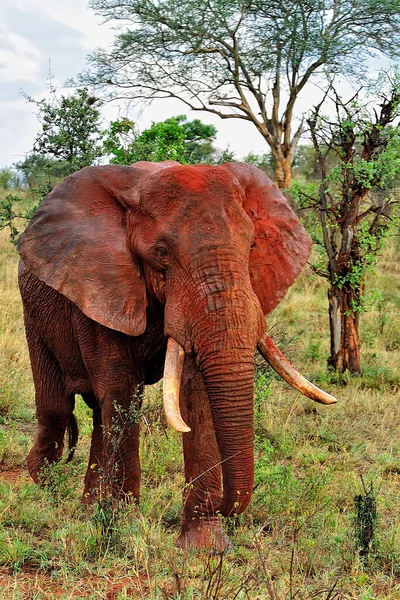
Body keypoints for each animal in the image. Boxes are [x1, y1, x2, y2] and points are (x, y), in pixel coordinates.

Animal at [17, 162, 336, 552]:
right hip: (34, 311)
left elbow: (197, 397)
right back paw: (46, 493)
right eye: (162, 253)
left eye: (252, 245)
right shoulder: (101, 285)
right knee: (58, 407)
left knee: (97, 415)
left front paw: (206, 549)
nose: (224, 504)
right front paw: (126, 528)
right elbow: (122, 390)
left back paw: (88, 507)